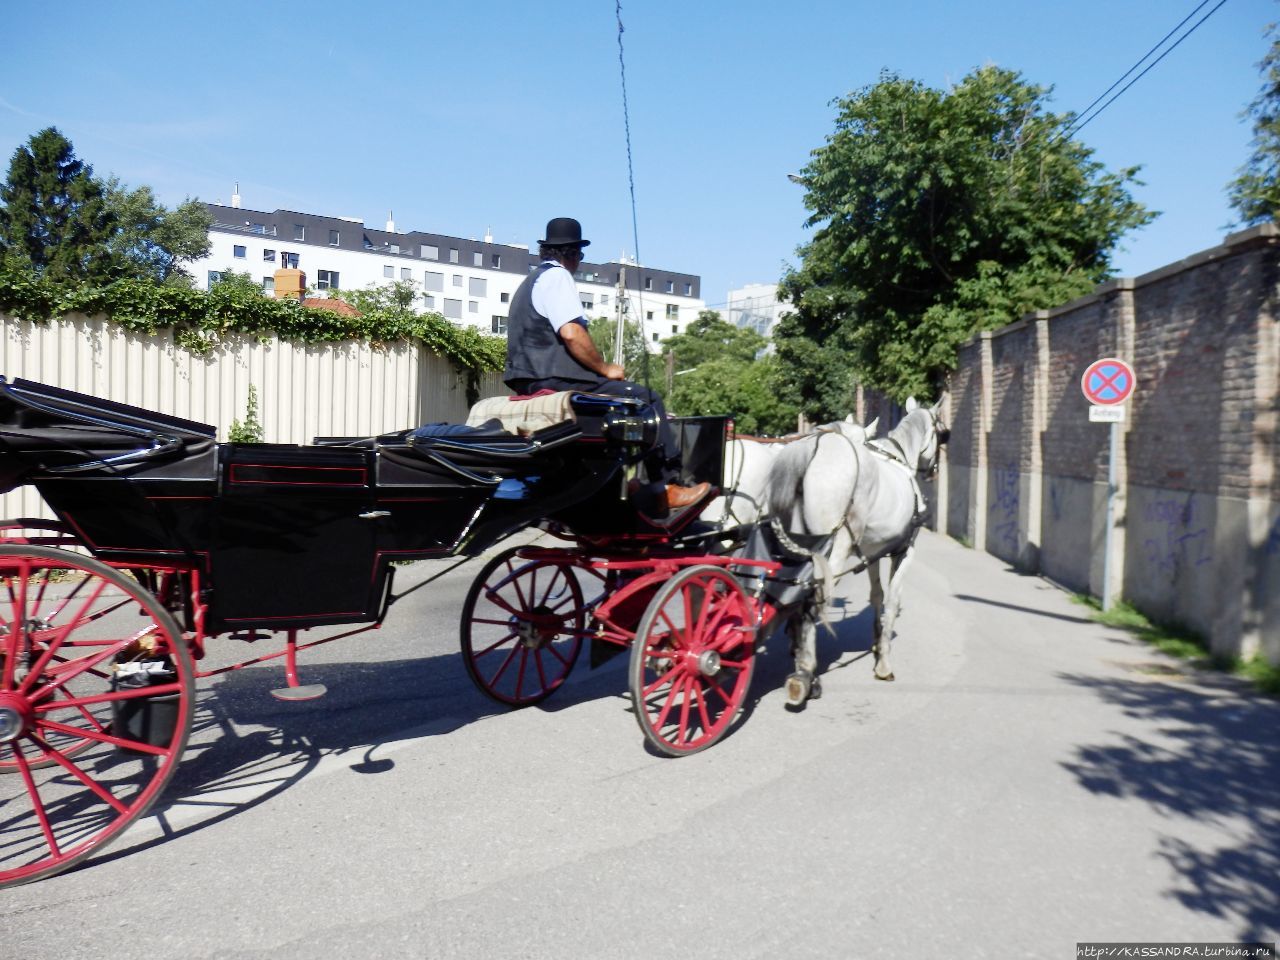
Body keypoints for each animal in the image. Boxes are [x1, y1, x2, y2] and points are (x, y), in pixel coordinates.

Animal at [762, 399, 947, 706]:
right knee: (813, 600)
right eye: (941, 433)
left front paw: (876, 642)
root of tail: (814, 448)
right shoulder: (904, 551)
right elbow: (892, 600)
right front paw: (883, 662)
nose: (933, 471)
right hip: (832, 552)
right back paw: (805, 675)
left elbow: (877, 595)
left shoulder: (871, 552)